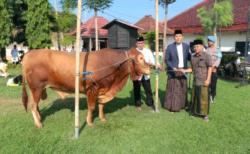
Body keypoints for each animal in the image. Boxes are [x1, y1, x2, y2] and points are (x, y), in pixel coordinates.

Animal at [22, 47, 150, 128]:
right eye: (140, 58)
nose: (150, 68)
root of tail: (28, 54)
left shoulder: (102, 90)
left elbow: (101, 105)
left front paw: (102, 118)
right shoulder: (92, 89)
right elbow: (92, 107)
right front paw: (90, 122)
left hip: (37, 90)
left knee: (36, 106)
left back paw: (40, 118)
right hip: (37, 88)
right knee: (33, 106)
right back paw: (39, 124)